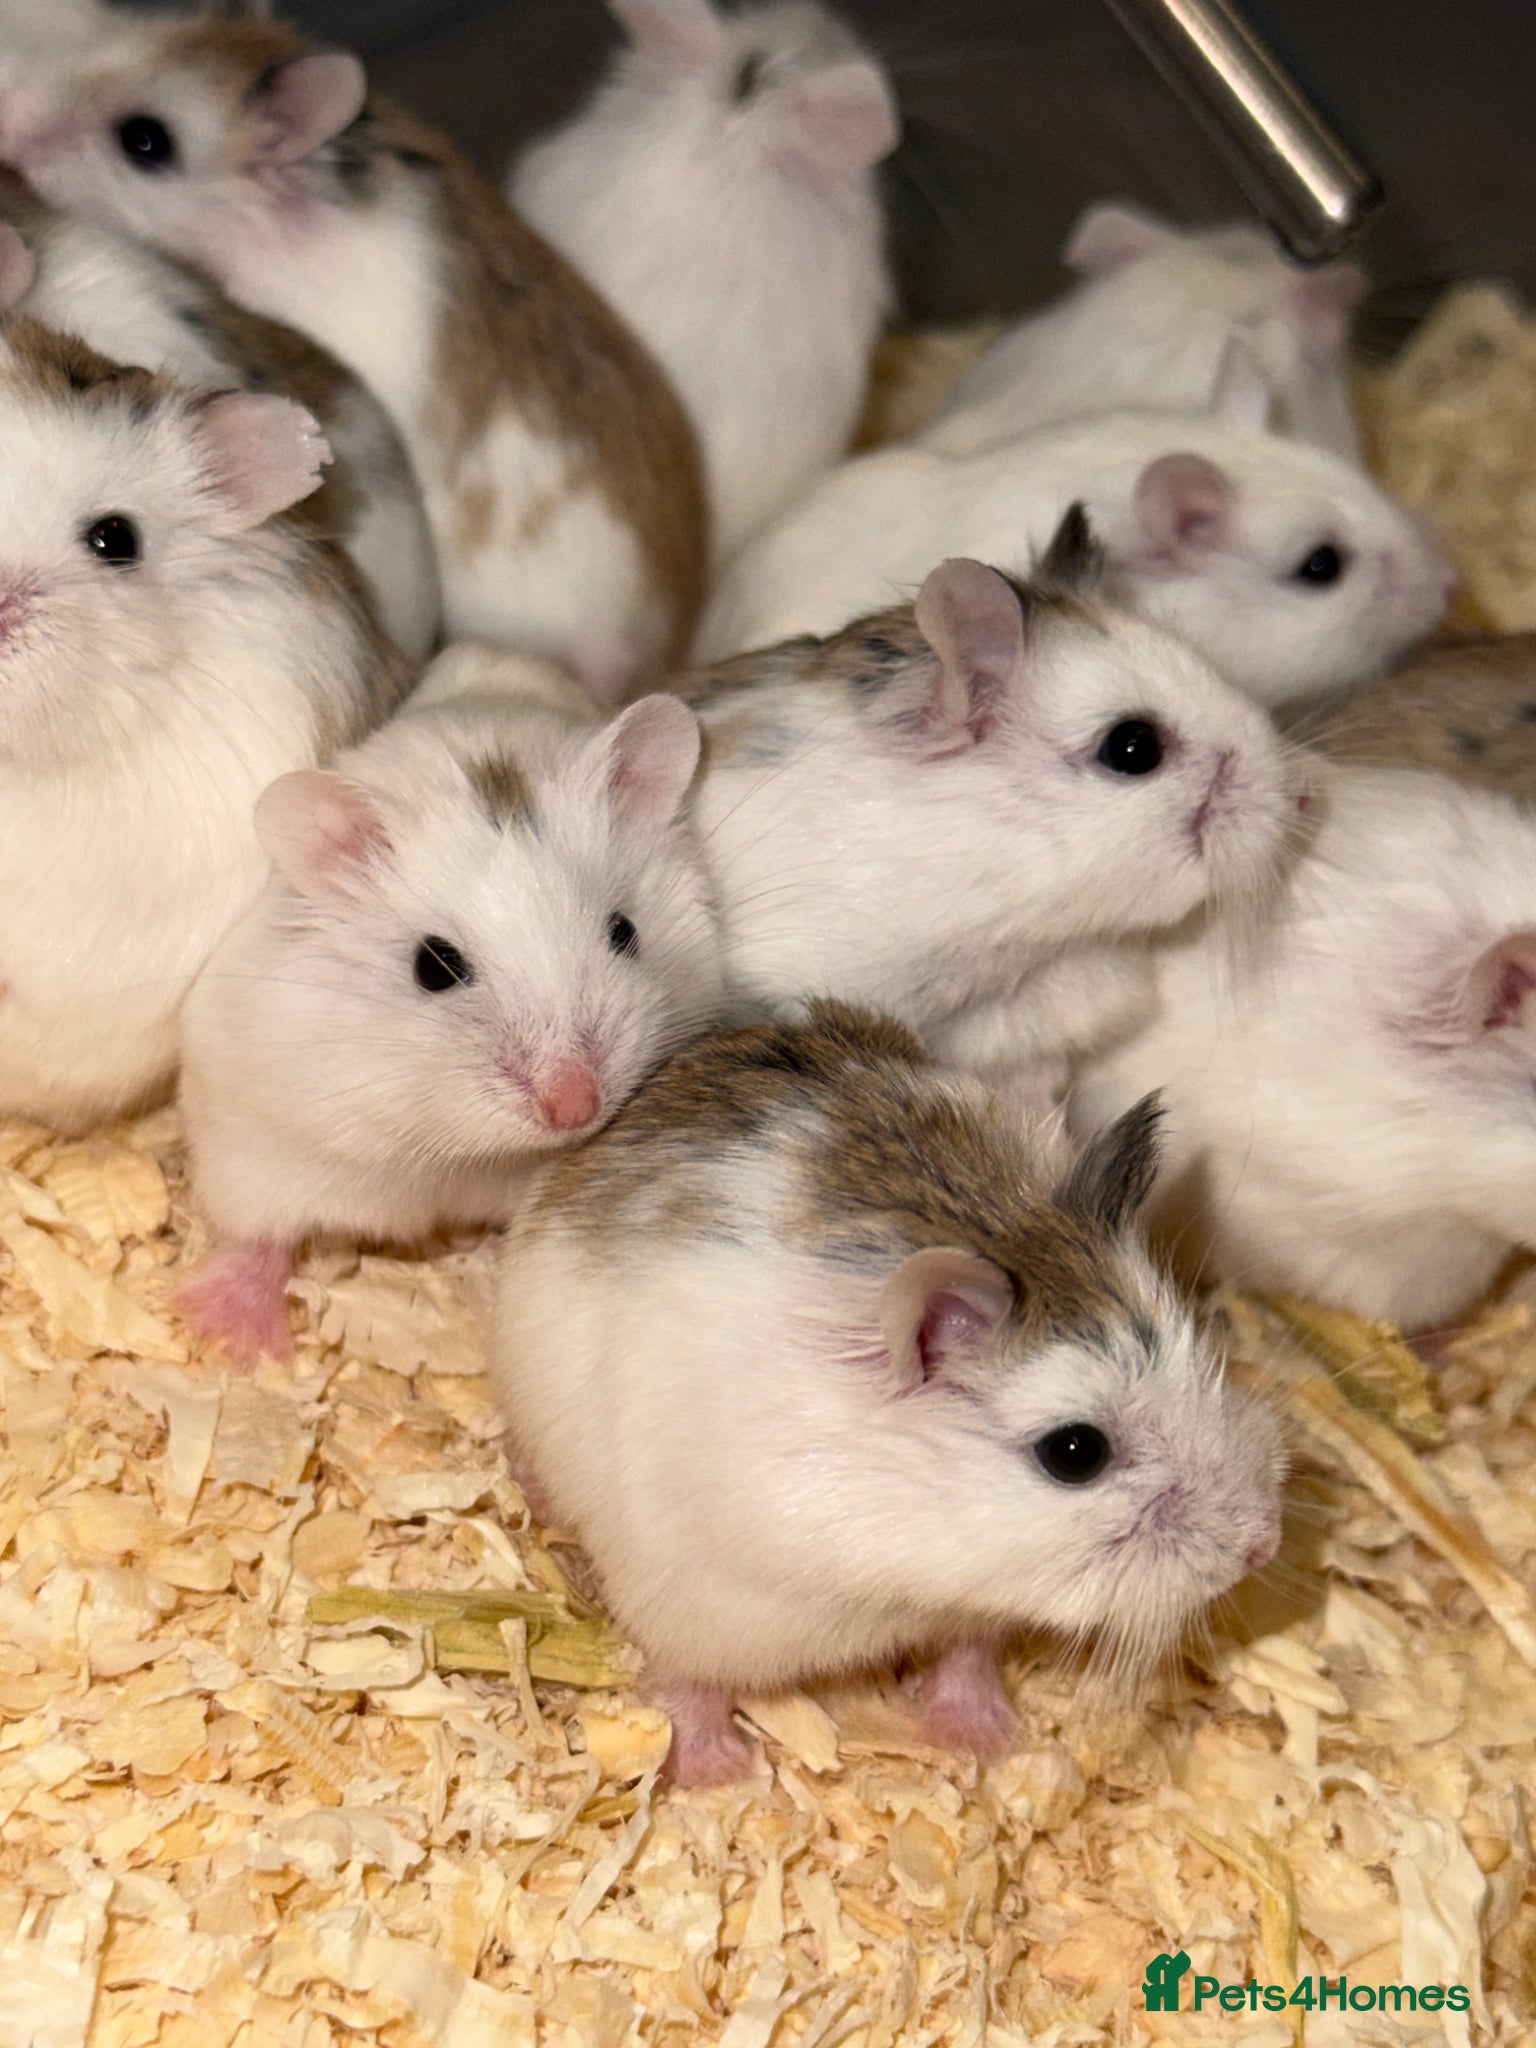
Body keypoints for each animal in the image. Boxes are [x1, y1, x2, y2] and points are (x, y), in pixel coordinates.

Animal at [178, 649, 724, 1367]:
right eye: (432, 968)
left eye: (624, 931)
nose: (576, 1108)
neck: (463, 1149)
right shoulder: (251, 1138)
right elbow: (256, 1234)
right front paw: (227, 1345)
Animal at [492, 1000, 1286, 1785]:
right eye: (1074, 1452)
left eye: (1203, 1351)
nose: (1263, 1547)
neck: (909, 1554)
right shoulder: (693, 1598)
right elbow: (689, 1684)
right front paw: (719, 1775)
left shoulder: (971, 1608)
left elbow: (968, 1653)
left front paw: (991, 1740)